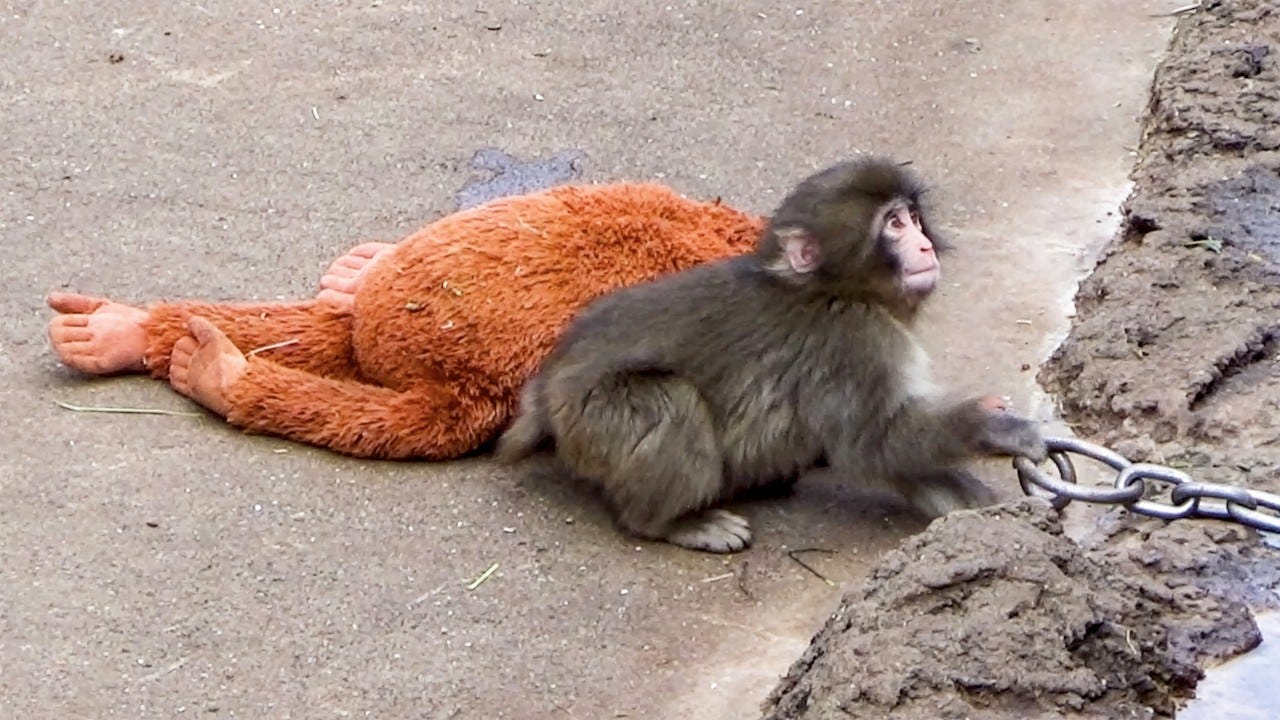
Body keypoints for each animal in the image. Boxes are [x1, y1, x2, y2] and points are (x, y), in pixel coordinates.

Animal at [495, 156, 1047, 553]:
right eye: (893, 225)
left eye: (911, 217)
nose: (925, 246)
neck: (838, 289)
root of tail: (547, 390)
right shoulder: (853, 341)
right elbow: (875, 442)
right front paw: (993, 427)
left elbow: (896, 455)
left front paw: (971, 508)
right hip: (595, 416)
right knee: (671, 403)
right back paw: (670, 522)